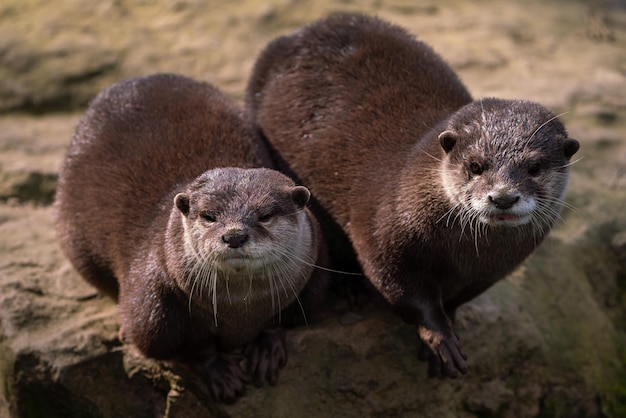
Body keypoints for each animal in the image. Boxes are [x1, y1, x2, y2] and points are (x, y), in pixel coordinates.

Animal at [54, 72, 326, 402]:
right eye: (209, 216)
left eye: (265, 215)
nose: (235, 236)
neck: (241, 312)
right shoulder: (154, 307)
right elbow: (183, 347)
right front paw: (219, 370)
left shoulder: (314, 279)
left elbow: (285, 319)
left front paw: (266, 346)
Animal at [245, 14, 580, 378]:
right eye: (476, 166)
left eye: (534, 167)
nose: (503, 197)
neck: (464, 256)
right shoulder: (383, 238)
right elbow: (403, 292)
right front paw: (440, 339)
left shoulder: (487, 274)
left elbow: (455, 301)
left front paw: (449, 327)